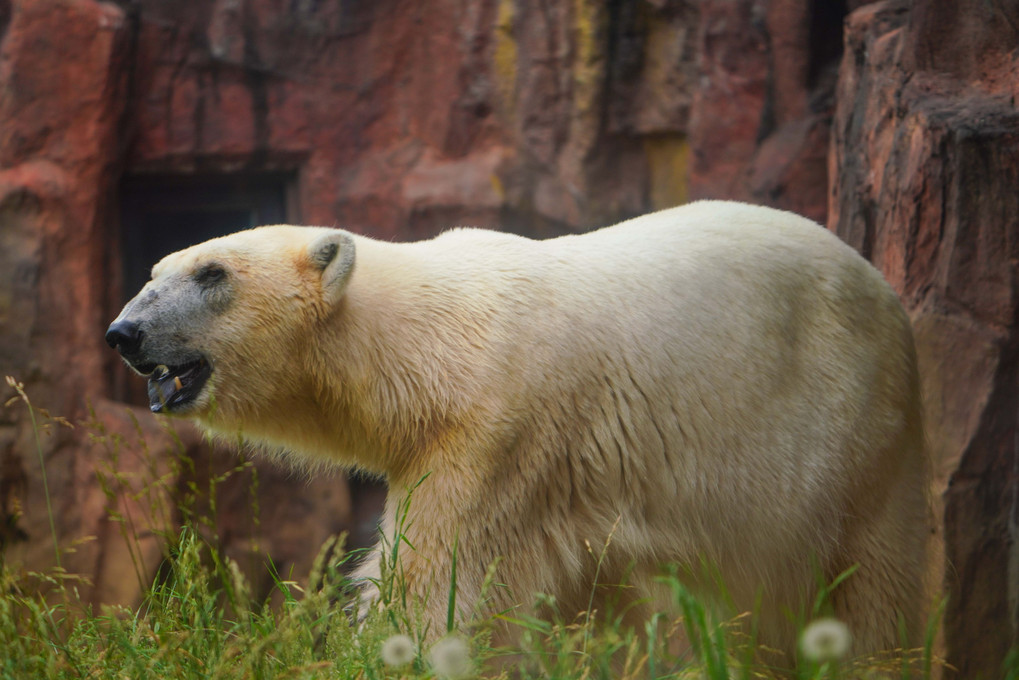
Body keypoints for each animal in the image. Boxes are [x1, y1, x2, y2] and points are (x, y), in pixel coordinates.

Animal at [107, 200, 929, 660]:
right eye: (153, 270)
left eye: (211, 273)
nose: (123, 332)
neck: (432, 346)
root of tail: (885, 294)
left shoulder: (500, 431)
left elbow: (430, 582)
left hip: (859, 435)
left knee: (872, 586)